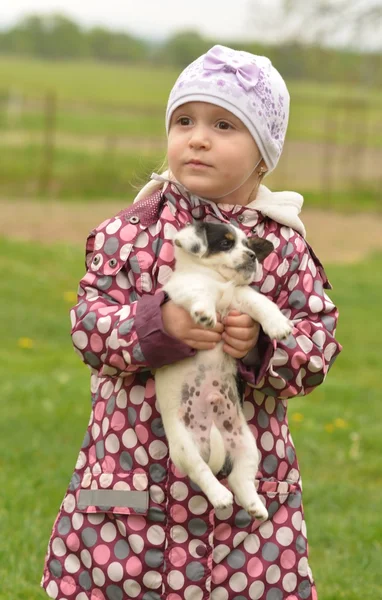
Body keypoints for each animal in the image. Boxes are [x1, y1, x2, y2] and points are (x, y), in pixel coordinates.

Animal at [155, 223, 292, 516]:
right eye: (227, 243)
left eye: (248, 245)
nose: (252, 256)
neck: (219, 281)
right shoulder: (186, 290)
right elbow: (201, 294)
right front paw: (205, 314)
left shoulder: (243, 298)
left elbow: (264, 304)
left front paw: (278, 326)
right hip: (184, 447)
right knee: (202, 472)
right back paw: (220, 497)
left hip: (247, 445)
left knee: (239, 478)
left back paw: (255, 507)